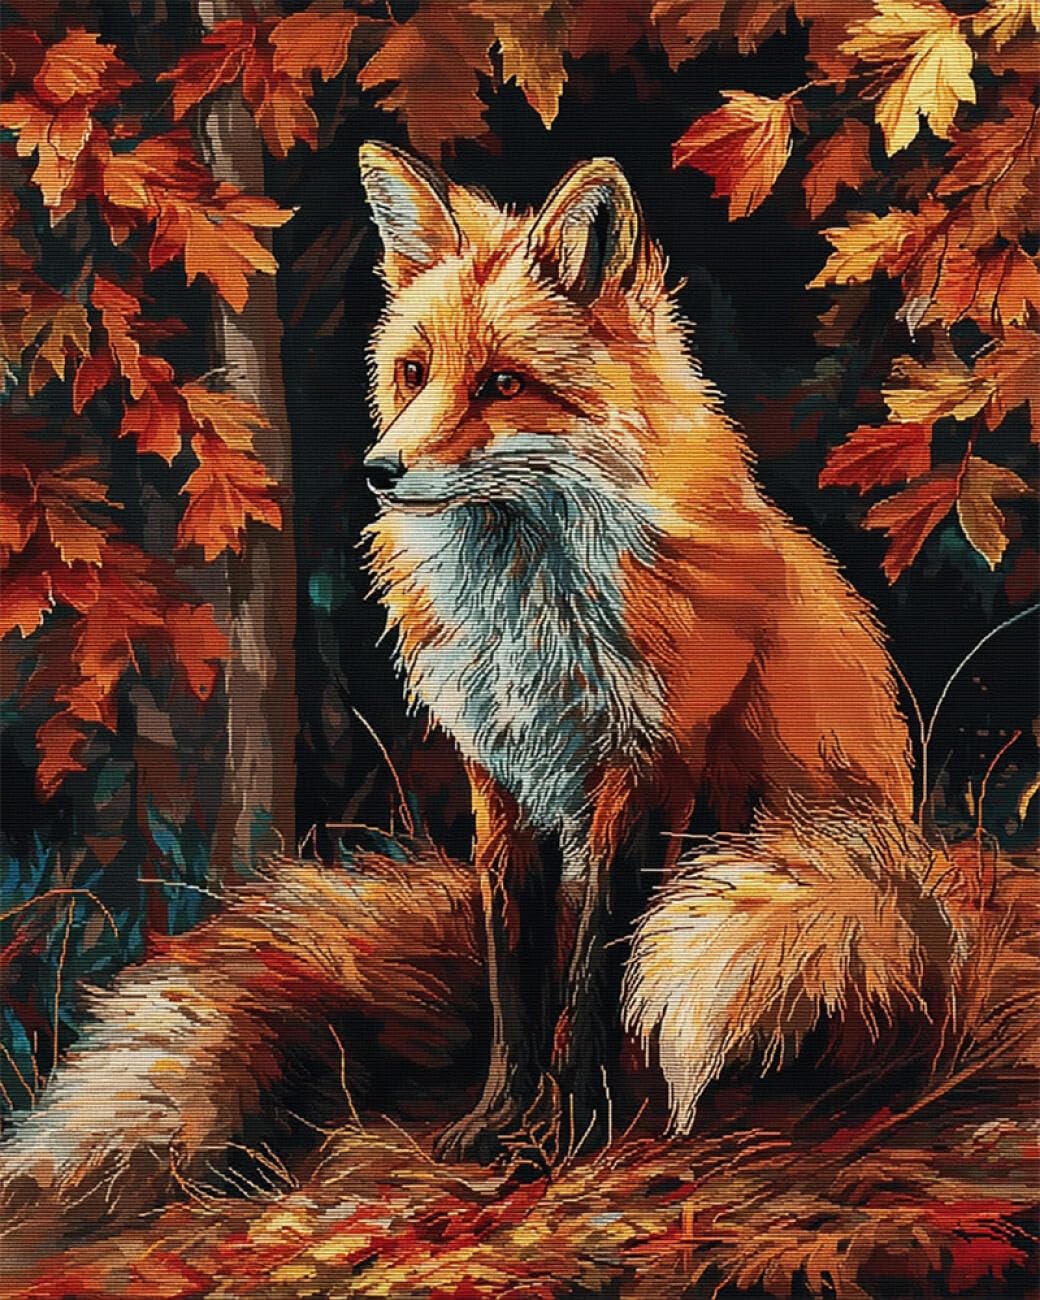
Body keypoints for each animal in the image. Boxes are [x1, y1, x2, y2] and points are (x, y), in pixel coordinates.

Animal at [0, 145, 964, 1245]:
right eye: (414, 372)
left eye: (503, 383)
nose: (379, 471)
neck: (527, 617)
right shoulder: (498, 777)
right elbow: (516, 979)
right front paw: (498, 1120)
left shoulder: (643, 774)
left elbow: (596, 974)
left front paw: (571, 1132)